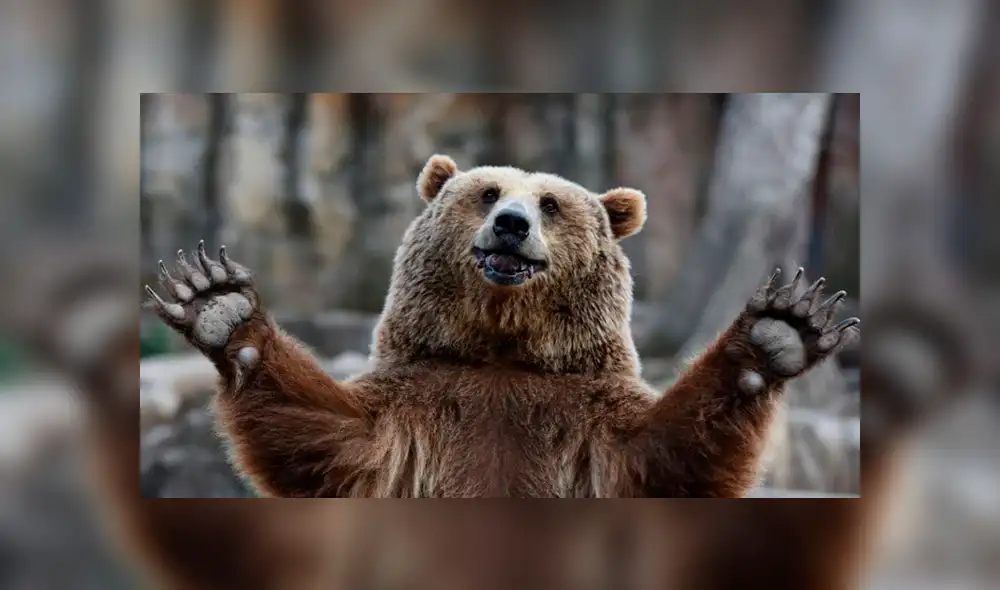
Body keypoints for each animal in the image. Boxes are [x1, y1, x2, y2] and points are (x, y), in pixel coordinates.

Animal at [142, 153, 860, 498]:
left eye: (551, 204)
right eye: (486, 192)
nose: (511, 225)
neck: (502, 349)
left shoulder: (585, 411)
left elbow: (666, 454)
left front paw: (779, 330)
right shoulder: (422, 399)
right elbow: (326, 438)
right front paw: (219, 305)